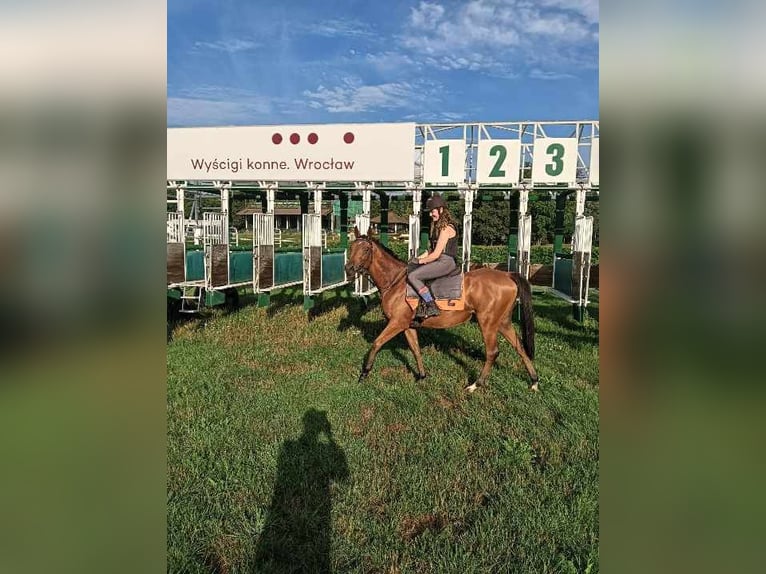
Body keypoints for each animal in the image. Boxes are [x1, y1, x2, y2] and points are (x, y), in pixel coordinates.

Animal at [346, 232, 540, 394]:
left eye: (365, 249)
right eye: (351, 247)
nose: (349, 269)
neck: (396, 282)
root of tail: (507, 275)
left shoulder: (396, 323)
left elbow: (377, 343)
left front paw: (364, 374)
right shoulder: (407, 326)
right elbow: (415, 349)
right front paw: (422, 376)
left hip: (488, 322)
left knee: (492, 352)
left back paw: (475, 384)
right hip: (503, 322)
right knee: (520, 347)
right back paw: (534, 381)